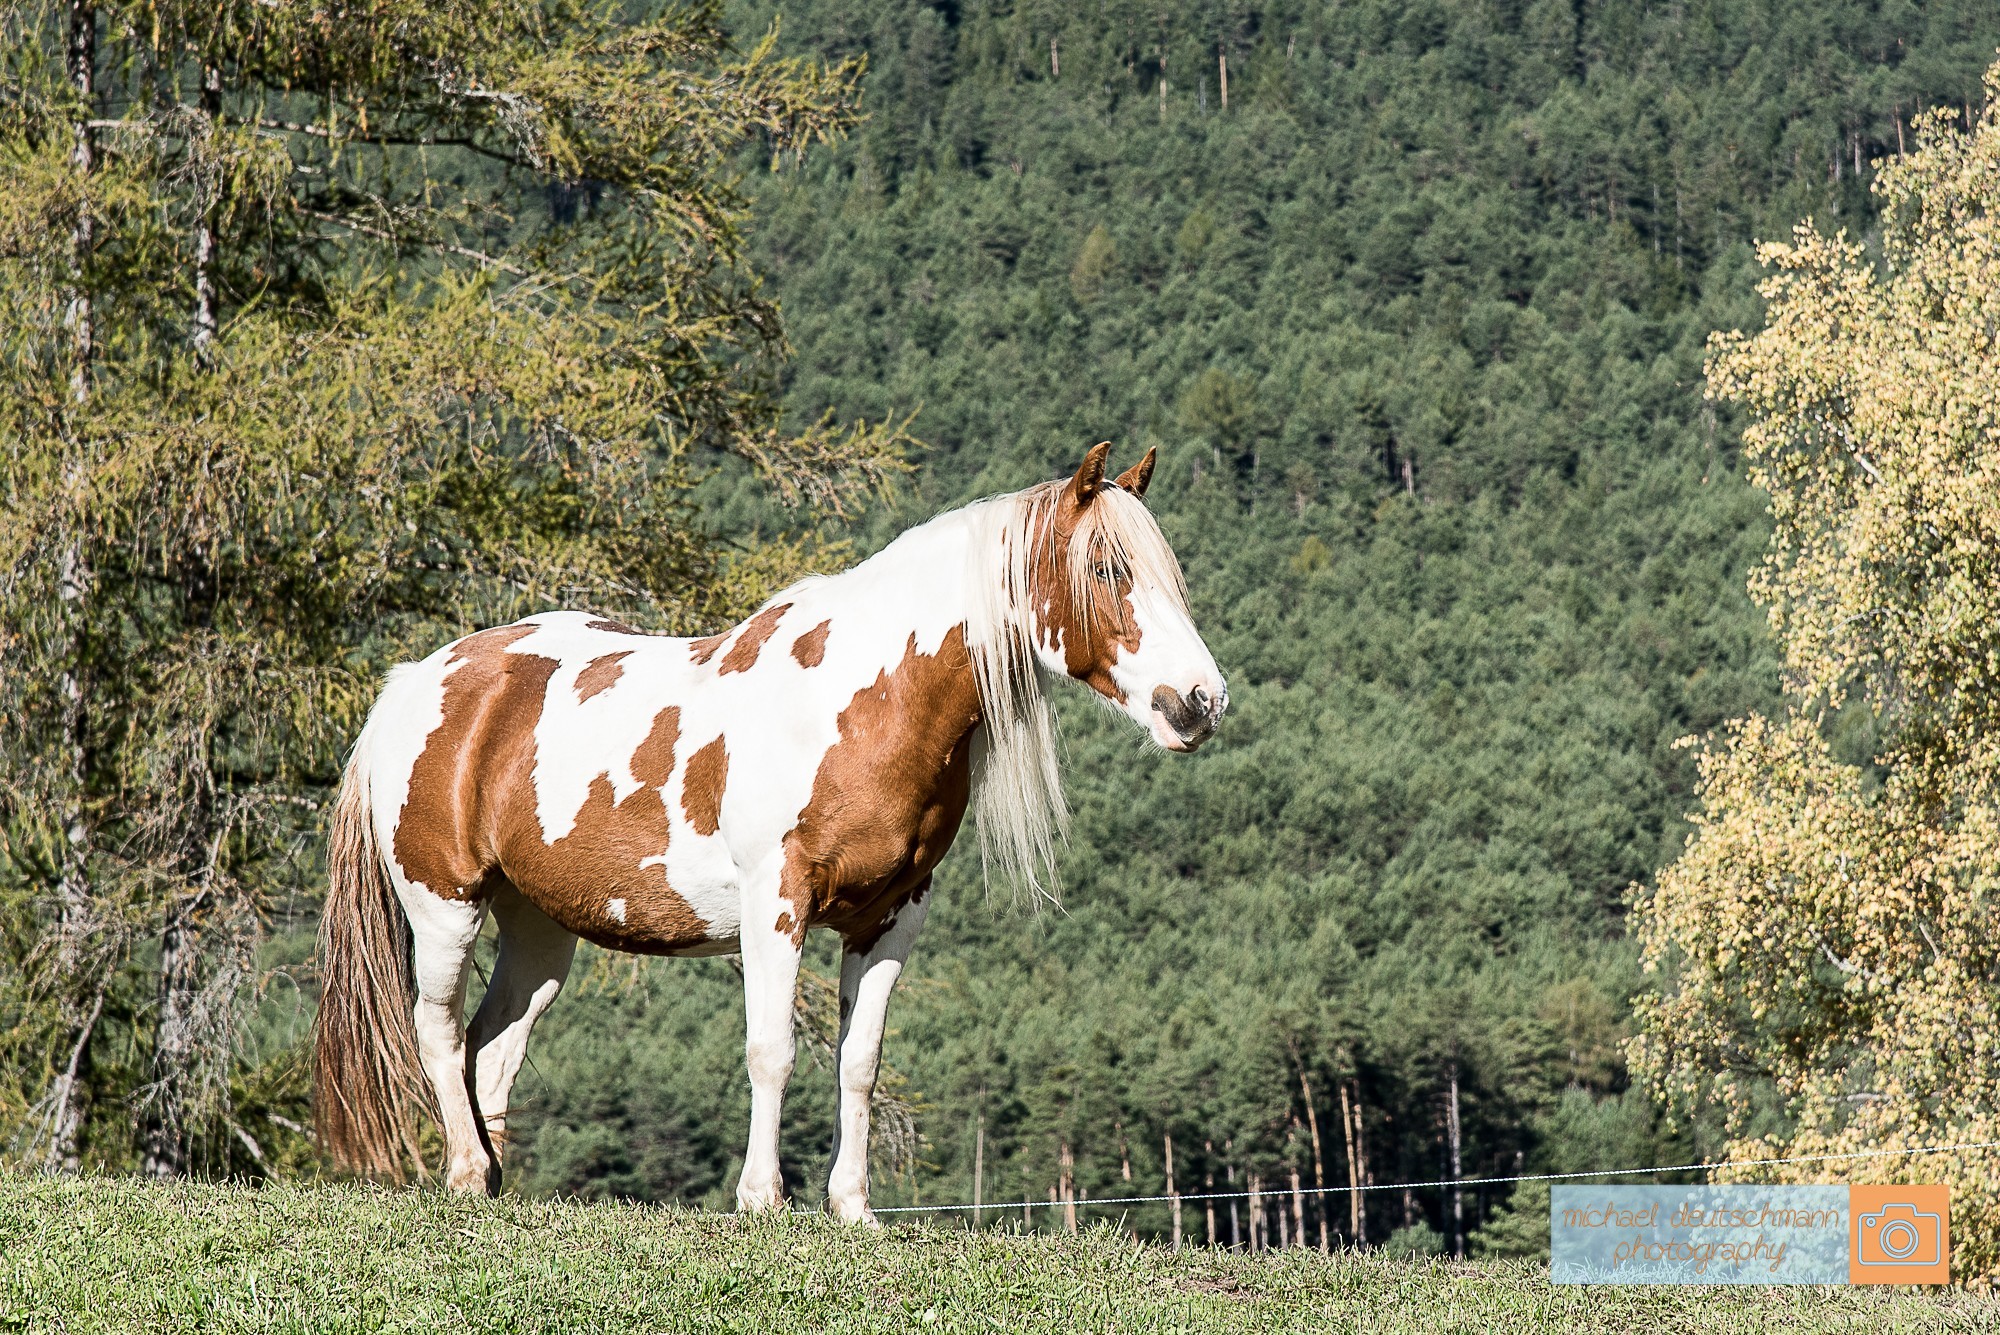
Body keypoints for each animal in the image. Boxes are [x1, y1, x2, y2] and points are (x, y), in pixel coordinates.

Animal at [312, 442, 1227, 1222]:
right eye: (1107, 567)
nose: (1201, 700)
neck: (859, 705)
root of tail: (415, 681)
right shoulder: (774, 904)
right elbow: (772, 1048)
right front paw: (762, 1197)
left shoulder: (892, 915)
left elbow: (859, 1062)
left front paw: (852, 1207)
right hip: (445, 905)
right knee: (437, 1033)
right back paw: (469, 1170)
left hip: (539, 928)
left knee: (492, 1047)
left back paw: (491, 1182)